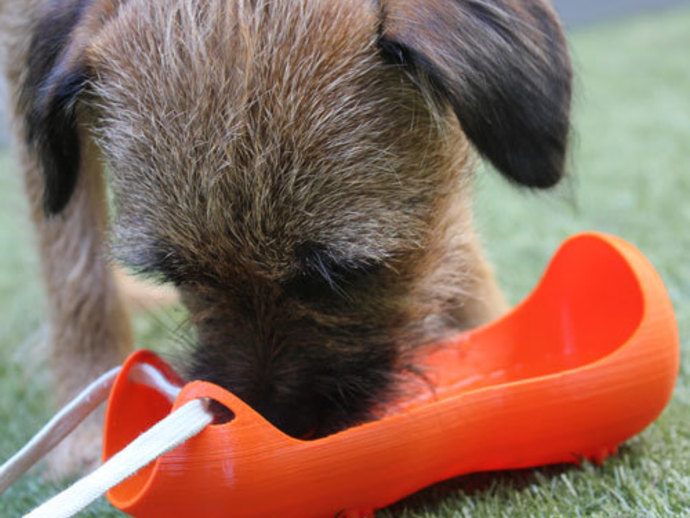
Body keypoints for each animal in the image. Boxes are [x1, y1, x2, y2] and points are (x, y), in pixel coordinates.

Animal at [0, 0, 568, 480]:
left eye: (339, 275)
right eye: (177, 272)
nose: (271, 419)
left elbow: (449, 225)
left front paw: (489, 323)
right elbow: (74, 262)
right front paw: (90, 421)